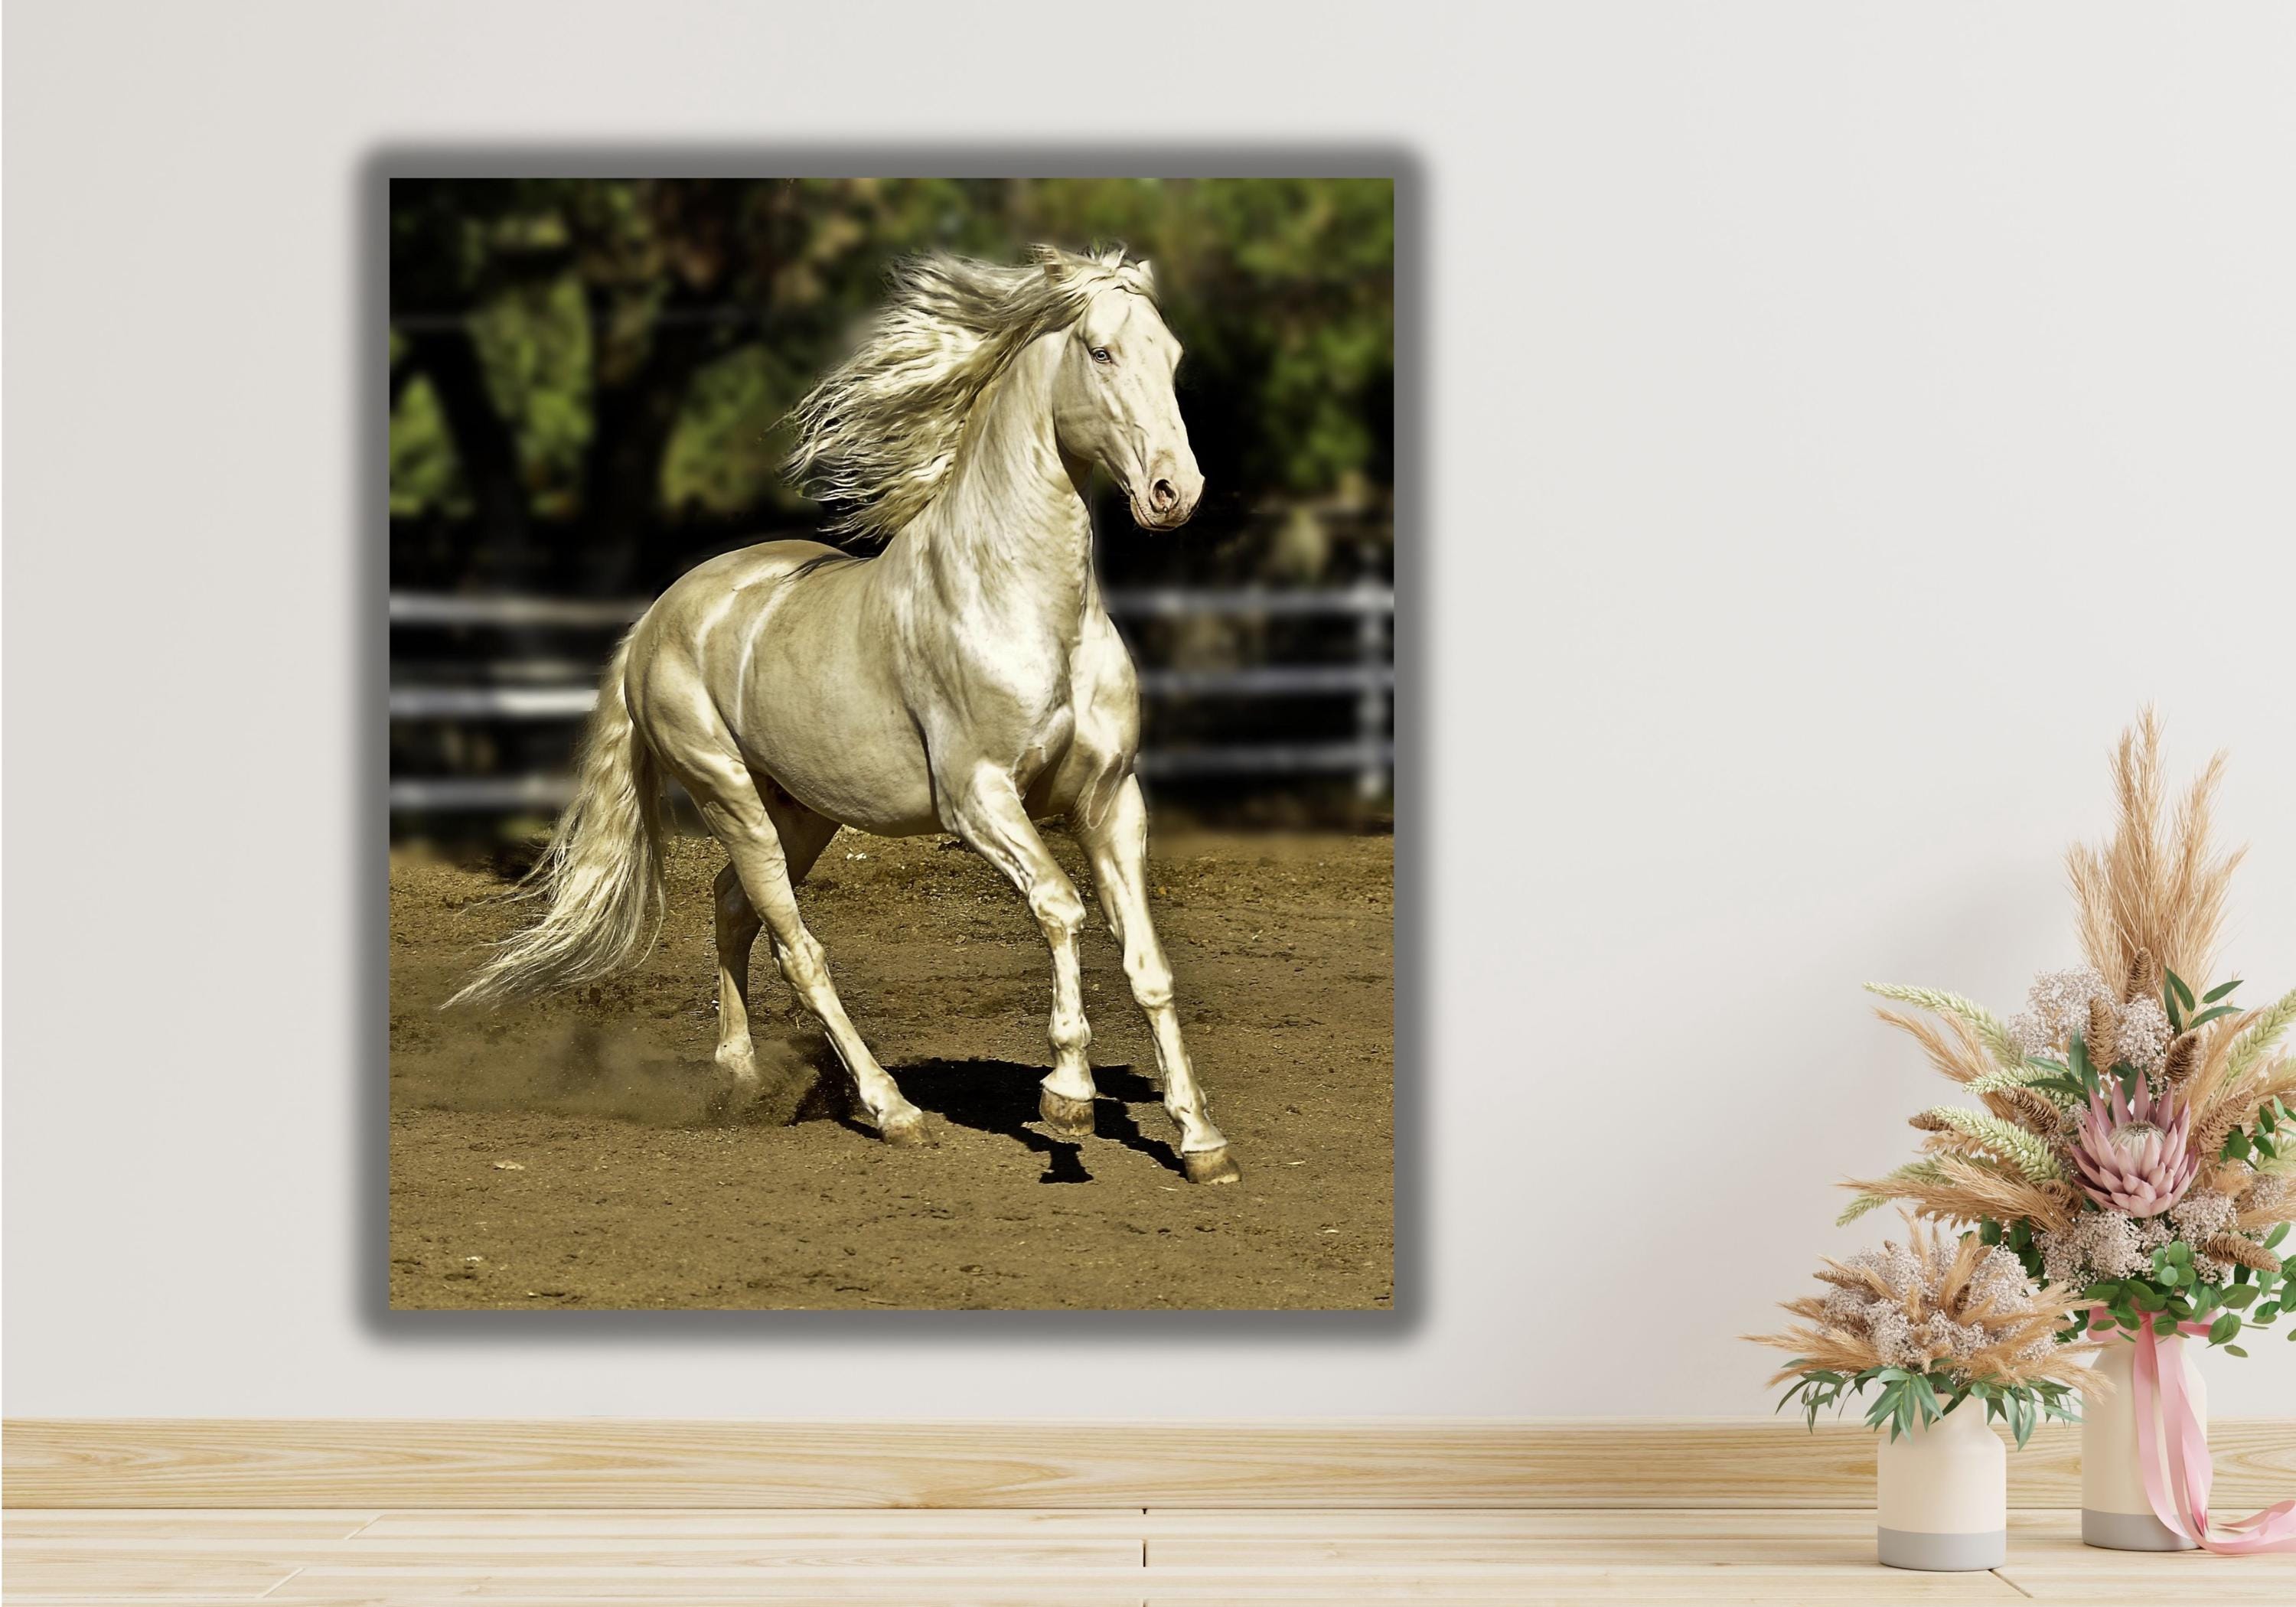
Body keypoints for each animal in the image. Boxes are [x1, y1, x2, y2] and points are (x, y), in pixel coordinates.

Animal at [449, 244, 1240, 1185]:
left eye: (1175, 356)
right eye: (1101, 351)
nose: (1174, 491)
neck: (1027, 606)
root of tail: (656, 618)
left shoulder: (1109, 800)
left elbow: (1147, 963)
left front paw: (1201, 1141)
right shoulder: (979, 801)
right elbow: (1061, 909)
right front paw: (1068, 1096)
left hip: (802, 813)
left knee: (731, 908)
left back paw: (739, 1080)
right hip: (731, 799)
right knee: (797, 947)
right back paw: (893, 1111)